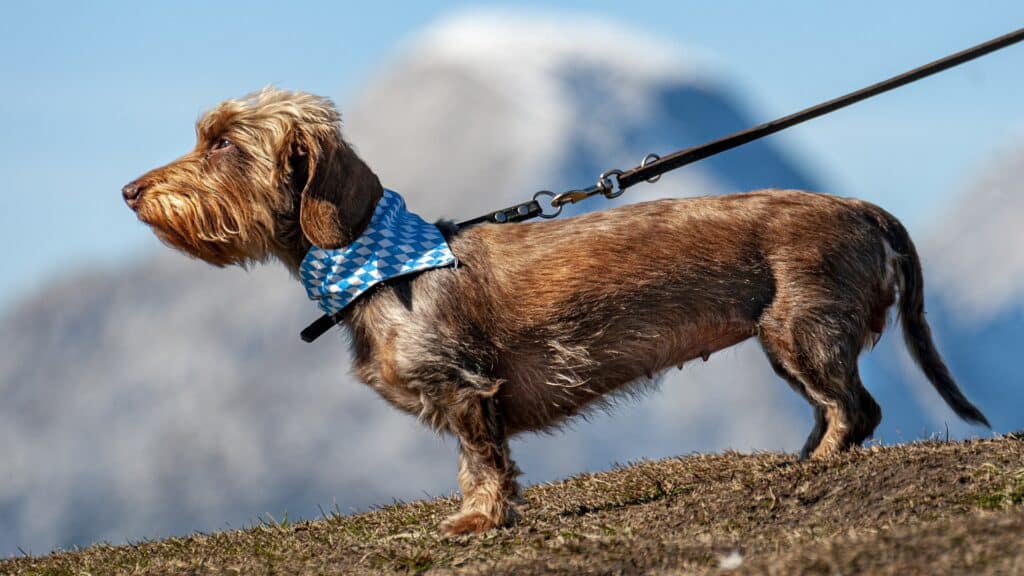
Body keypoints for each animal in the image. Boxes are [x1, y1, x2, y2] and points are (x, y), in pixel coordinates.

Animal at [123, 88, 987, 532]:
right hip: (788, 344)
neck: (378, 261)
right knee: (837, 409)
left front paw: (477, 520)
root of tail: (863, 209)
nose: (130, 191)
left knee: (858, 410)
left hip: (804, 331)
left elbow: (482, 462)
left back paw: (823, 461)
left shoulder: (466, 388)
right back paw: (802, 457)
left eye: (223, 143)